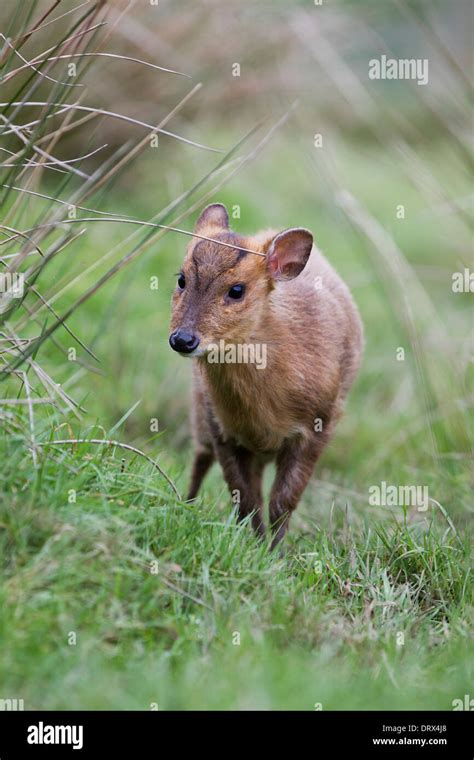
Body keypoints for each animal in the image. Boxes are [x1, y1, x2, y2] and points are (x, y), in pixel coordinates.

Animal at [170, 202, 362, 548]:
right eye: (181, 279)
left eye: (236, 290)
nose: (182, 339)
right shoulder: (222, 428)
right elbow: (246, 500)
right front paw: (256, 548)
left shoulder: (320, 423)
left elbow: (282, 503)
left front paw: (275, 553)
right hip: (200, 409)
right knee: (200, 458)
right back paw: (185, 505)